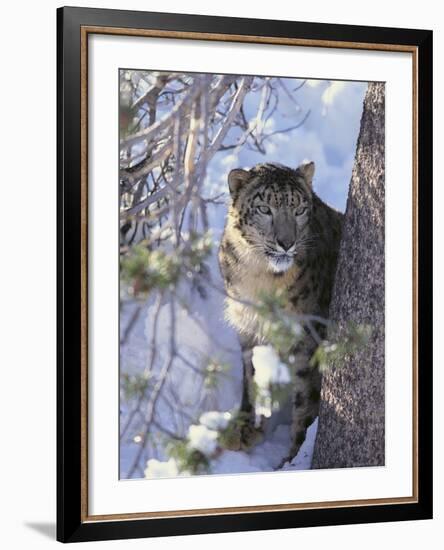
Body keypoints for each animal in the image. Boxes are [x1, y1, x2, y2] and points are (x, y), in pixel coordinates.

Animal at [219, 162, 344, 464]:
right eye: (265, 209)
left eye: (299, 209)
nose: (286, 243)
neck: (259, 278)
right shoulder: (248, 329)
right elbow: (250, 378)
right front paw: (243, 429)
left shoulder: (307, 339)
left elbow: (306, 400)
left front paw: (292, 460)